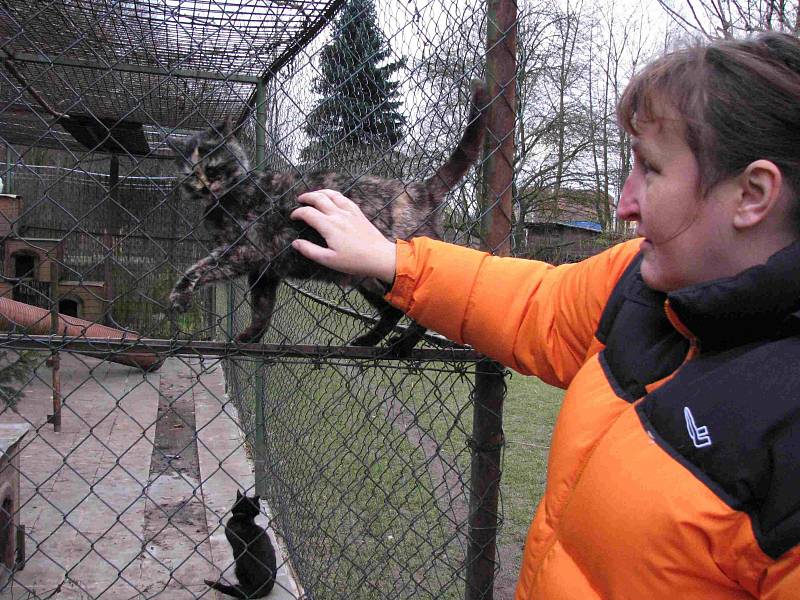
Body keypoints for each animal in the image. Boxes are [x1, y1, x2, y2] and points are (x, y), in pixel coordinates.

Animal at [169, 79, 488, 356]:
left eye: (212, 168)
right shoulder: (265, 271)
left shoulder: (248, 250)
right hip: (368, 276)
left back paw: (402, 346)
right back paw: (368, 340)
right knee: (392, 311)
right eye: (190, 174)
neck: (226, 201)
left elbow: (202, 268)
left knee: (421, 309)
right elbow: (262, 307)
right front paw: (252, 337)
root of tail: (418, 189)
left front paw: (180, 294)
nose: (203, 186)